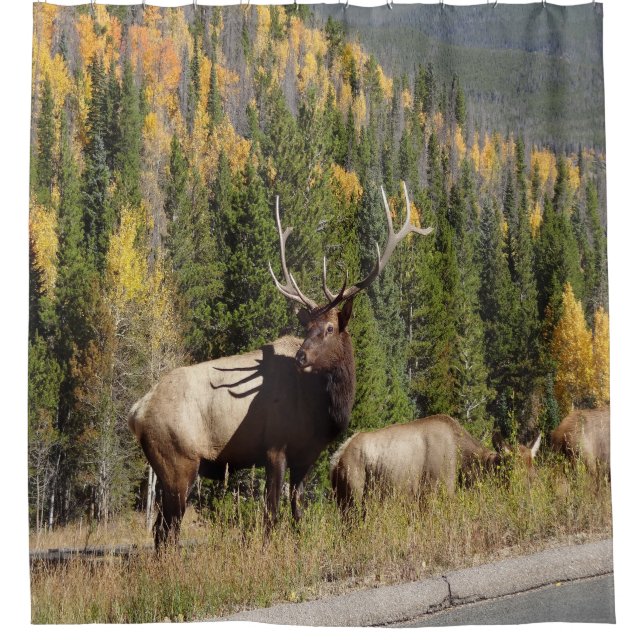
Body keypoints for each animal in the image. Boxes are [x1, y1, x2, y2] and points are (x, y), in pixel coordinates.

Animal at [128, 183, 432, 548]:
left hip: (169, 468)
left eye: (329, 329)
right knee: (166, 530)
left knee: (162, 528)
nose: (301, 357)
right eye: (307, 328)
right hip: (178, 461)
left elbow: (297, 509)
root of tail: (137, 412)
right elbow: (271, 513)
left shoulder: (307, 455)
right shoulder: (274, 448)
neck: (326, 410)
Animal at [330, 414, 542, 513]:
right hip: (352, 501)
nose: (529, 504)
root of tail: (335, 461)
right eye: (511, 474)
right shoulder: (432, 494)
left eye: (534, 476)